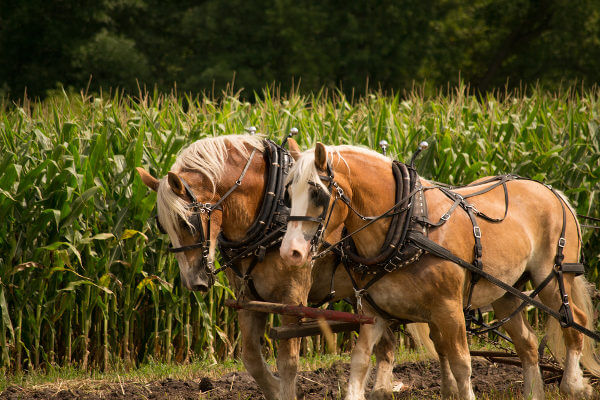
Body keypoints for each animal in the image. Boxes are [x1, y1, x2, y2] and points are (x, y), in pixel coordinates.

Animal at [136, 135, 432, 400]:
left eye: (188, 223)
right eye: (162, 226)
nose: (193, 281)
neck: (266, 217)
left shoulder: (292, 299)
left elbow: (288, 361)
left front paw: (288, 391)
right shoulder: (248, 300)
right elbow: (251, 358)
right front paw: (276, 390)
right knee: (387, 343)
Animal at [282, 141, 600, 400]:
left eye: (317, 193)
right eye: (287, 193)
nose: (289, 252)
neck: (407, 227)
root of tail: (552, 192)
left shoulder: (449, 309)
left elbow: (461, 364)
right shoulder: (374, 313)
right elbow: (360, 360)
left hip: (553, 278)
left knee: (574, 322)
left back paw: (573, 384)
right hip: (505, 293)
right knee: (528, 344)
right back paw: (534, 391)